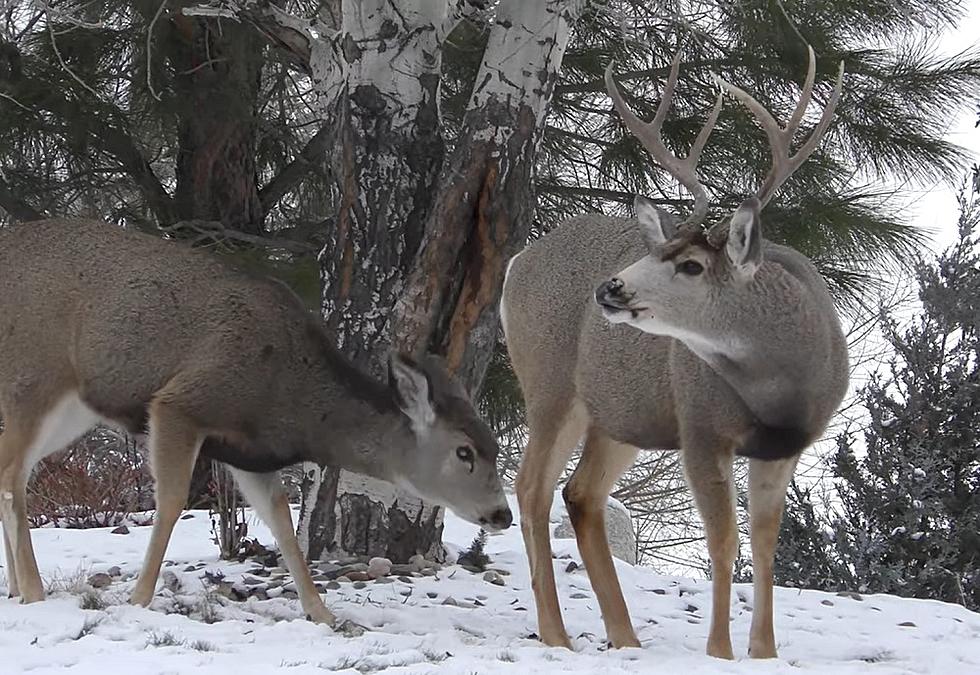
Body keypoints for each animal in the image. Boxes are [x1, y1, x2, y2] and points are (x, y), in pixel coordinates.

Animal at [0, 219, 516, 624]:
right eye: (464, 451)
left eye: (492, 444)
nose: (502, 514)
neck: (291, 399)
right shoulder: (181, 403)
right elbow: (171, 502)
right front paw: (139, 598)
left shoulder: (251, 453)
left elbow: (283, 522)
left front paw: (322, 613)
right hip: (34, 374)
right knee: (11, 477)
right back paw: (34, 590)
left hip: (72, 407)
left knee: (13, 474)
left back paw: (16, 591)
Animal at [502, 47, 848, 660]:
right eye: (661, 250)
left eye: (690, 265)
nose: (609, 287)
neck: (780, 387)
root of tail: (516, 263)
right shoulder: (700, 425)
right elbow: (723, 539)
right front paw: (720, 652)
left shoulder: (788, 445)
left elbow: (764, 544)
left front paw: (765, 652)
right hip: (548, 382)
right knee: (532, 487)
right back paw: (557, 635)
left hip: (622, 412)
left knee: (580, 493)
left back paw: (624, 637)